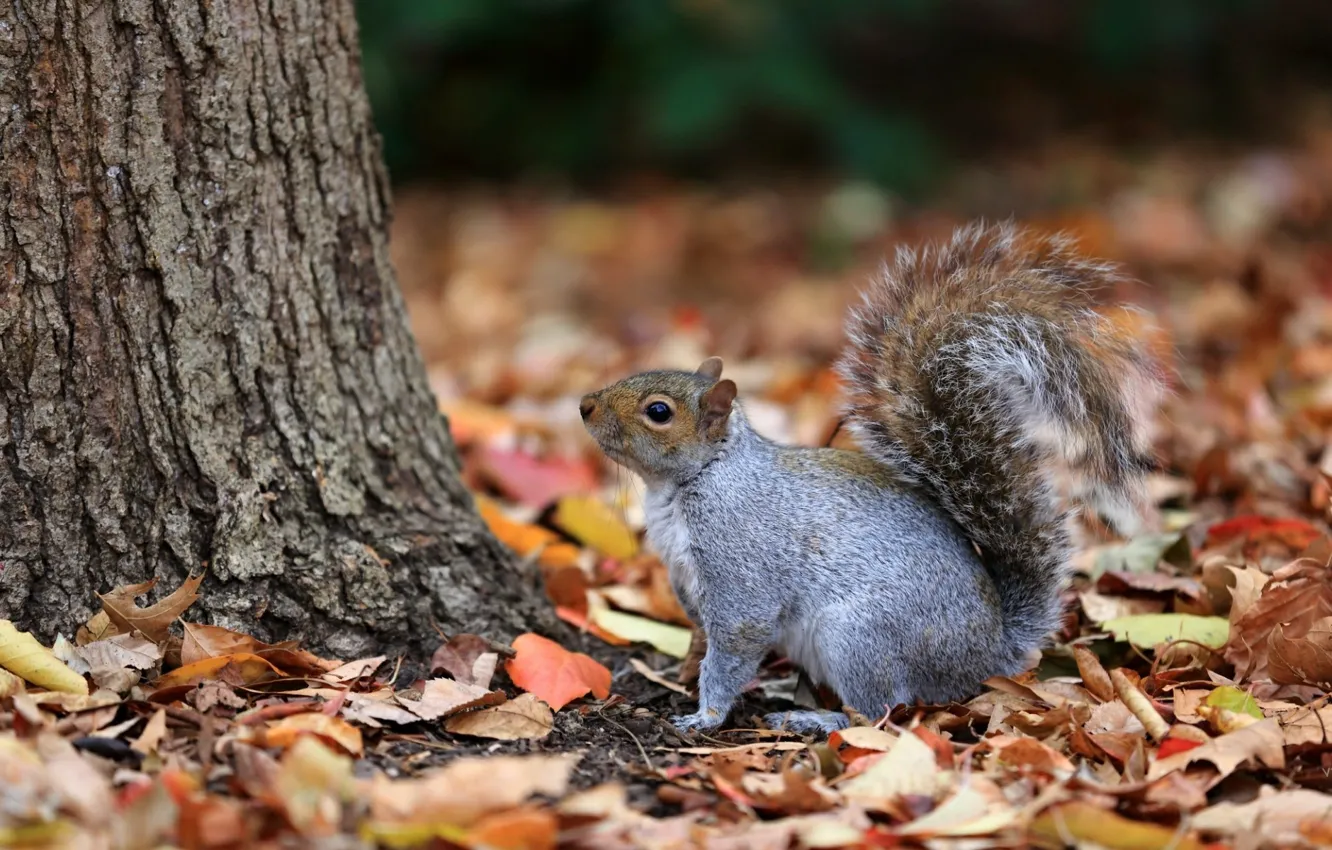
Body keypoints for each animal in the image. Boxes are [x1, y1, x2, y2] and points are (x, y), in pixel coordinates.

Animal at [578, 223, 1165, 735]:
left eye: (658, 412)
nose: (585, 405)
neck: (694, 481)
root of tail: (988, 653)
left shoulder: (741, 556)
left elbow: (739, 636)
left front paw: (706, 714)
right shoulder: (684, 574)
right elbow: (704, 631)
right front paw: (685, 669)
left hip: (858, 636)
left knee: (882, 708)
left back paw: (816, 719)